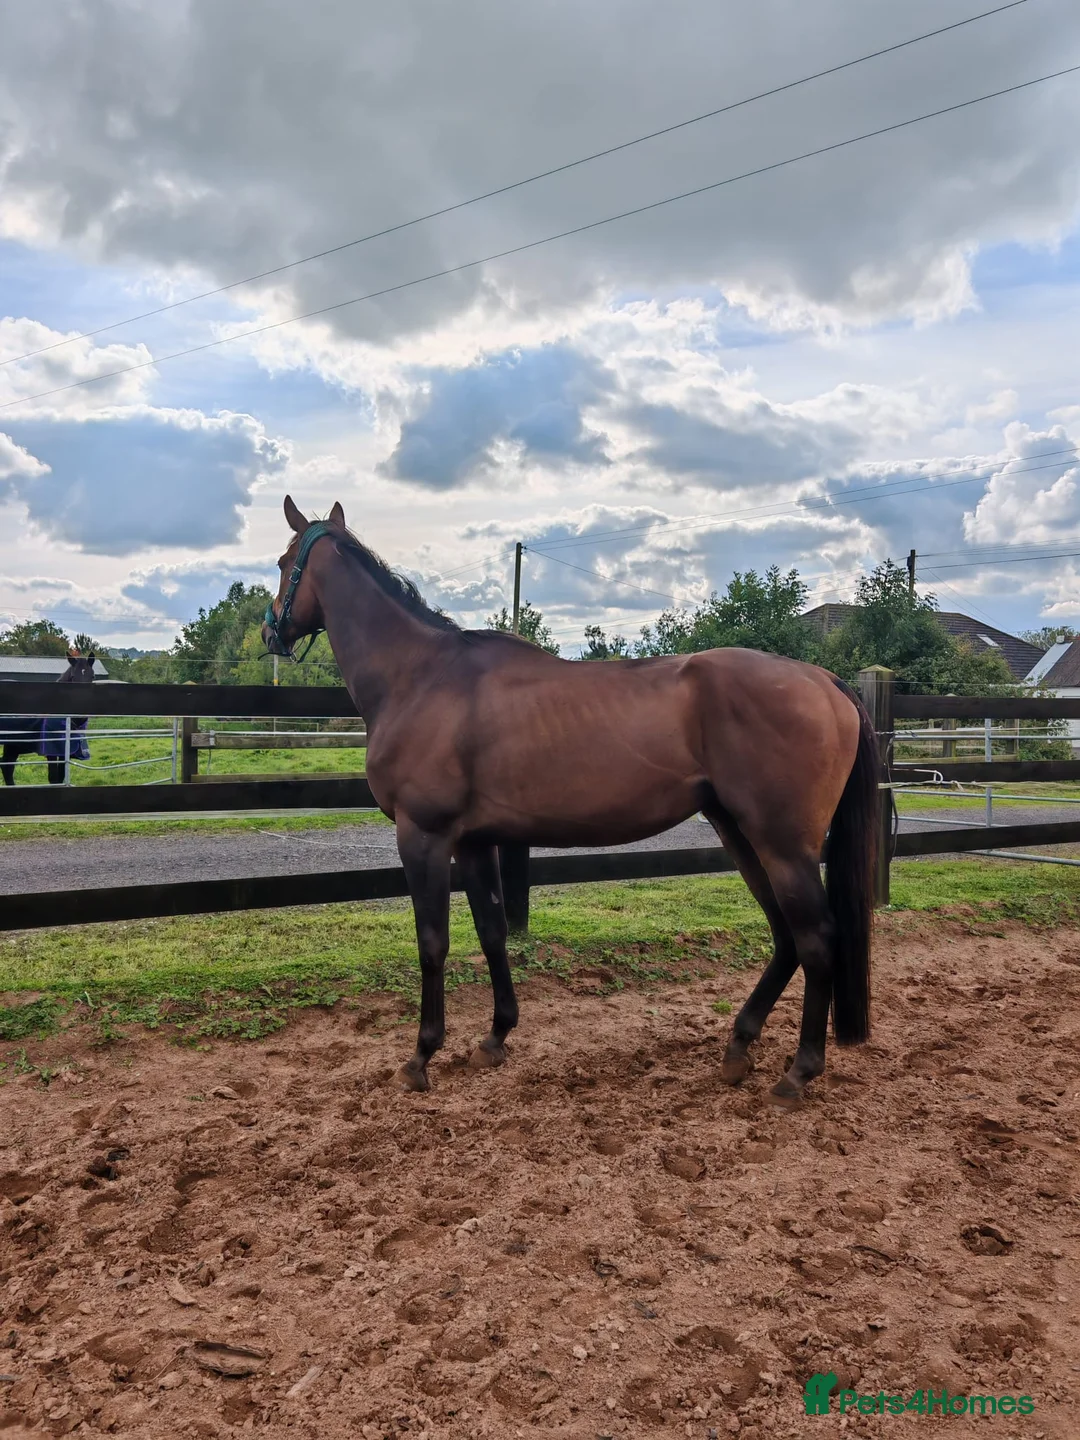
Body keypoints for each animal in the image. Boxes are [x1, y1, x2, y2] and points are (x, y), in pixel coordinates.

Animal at [0, 650, 96, 786]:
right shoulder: (51, 751)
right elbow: (53, 778)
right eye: (72, 677)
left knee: (7, 767)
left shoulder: (64, 751)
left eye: (92, 676)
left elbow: (60, 777)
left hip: (13, 745)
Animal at [263, 497, 879, 1104]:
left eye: (283, 561)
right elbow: (491, 931)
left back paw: (798, 1072)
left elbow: (432, 943)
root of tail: (826, 681)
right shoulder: (475, 842)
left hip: (783, 845)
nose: (271, 632)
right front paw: (495, 1037)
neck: (421, 677)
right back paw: (738, 1048)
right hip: (740, 832)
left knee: (817, 939)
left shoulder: (424, 836)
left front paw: (421, 1057)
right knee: (786, 935)